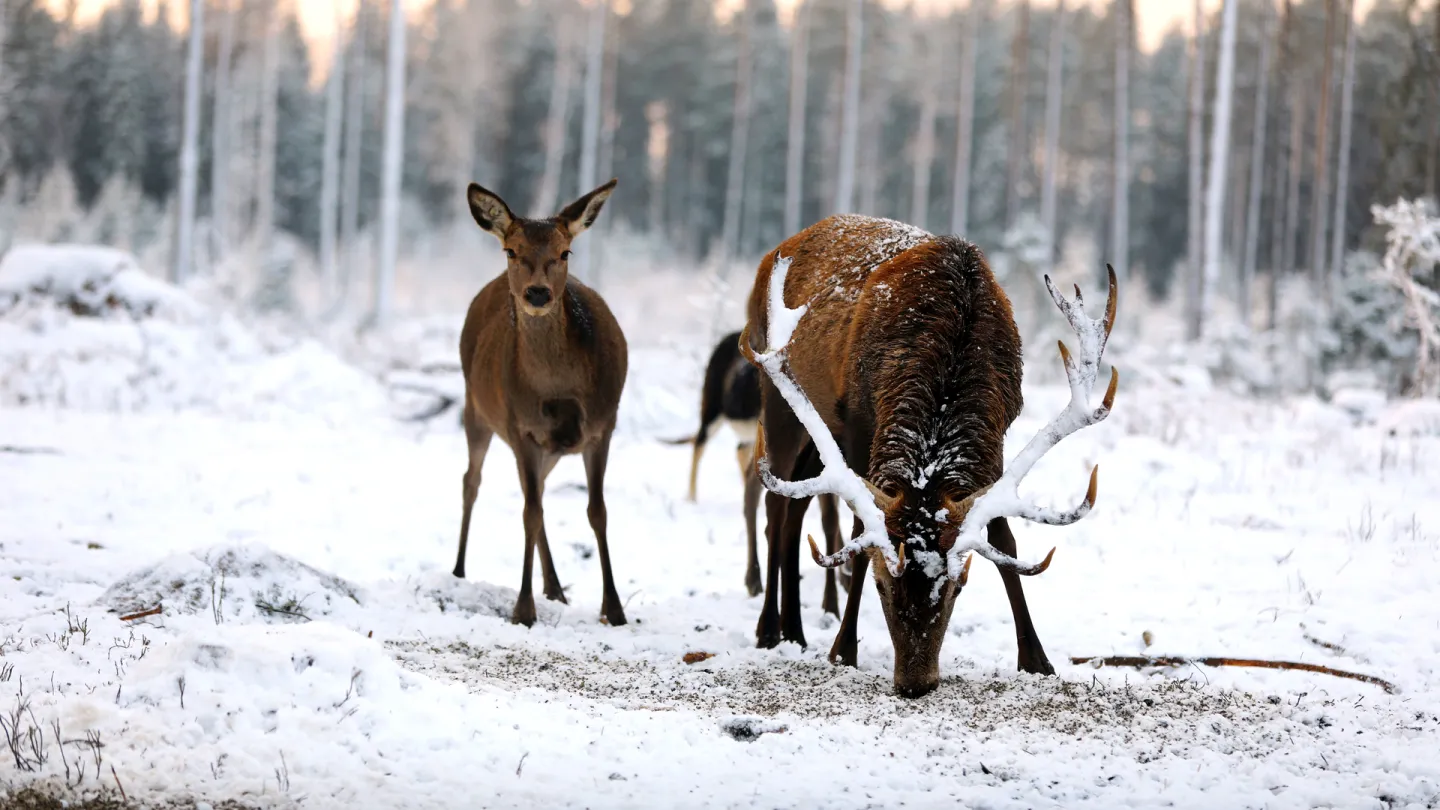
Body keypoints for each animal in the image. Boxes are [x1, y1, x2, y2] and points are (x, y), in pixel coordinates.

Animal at [449, 177, 630, 625]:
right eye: (511, 250)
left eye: (565, 252)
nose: (536, 293)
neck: (558, 388)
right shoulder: (521, 428)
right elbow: (529, 513)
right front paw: (523, 609)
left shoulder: (604, 425)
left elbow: (597, 512)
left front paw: (614, 608)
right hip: (476, 408)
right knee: (472, 481)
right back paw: (459, 569)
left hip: (549, 446)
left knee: (541, 492)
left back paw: (555, 587)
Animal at [743, 213, 1111, 694]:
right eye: (882, 586)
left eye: (957, 587)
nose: (916, 682)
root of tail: (773, 255)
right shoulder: (860, 427)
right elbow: (861, 534)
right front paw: (843, 650)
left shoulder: (996, 435)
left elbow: (1003, 538)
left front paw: (1038, 660)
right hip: (778, 400)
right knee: (775, 506)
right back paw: (770, 629)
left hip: (818, 436)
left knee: (794, 513)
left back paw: (795, 630)